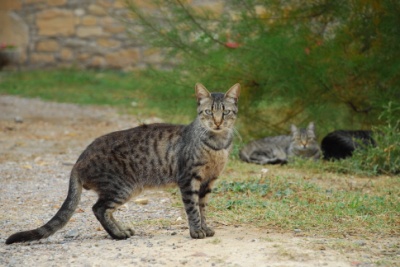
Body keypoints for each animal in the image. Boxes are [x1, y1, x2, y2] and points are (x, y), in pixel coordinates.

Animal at [5, 83, 241, 245]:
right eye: (209, 112)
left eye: (225, 112)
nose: (217, 122)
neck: (217, 145)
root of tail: (78, 160)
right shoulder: (189, 179)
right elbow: (192, 208)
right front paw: (196, 231)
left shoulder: (208, 182)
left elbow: (202, 207)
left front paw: (205, 227)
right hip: (122, 187)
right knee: (98, 208)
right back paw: (118, 234)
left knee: (103, 210)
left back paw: (121, 231)